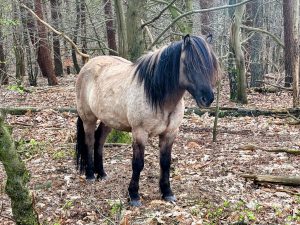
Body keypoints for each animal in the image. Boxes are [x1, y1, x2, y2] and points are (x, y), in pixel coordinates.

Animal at [75, 34, 220, 206]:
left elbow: (165, 162)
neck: (158, 97)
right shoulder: (140, 133)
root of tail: (87, 66)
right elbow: (138, 164)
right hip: (88, 119)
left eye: (211, 64)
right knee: (90, 142)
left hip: (108, 121)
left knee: (100, 142)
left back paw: (102, 174)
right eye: (189, 64)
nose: (208, 98)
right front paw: (134, 195)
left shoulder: (170, 133)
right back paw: (90, 175)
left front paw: (167, 193)